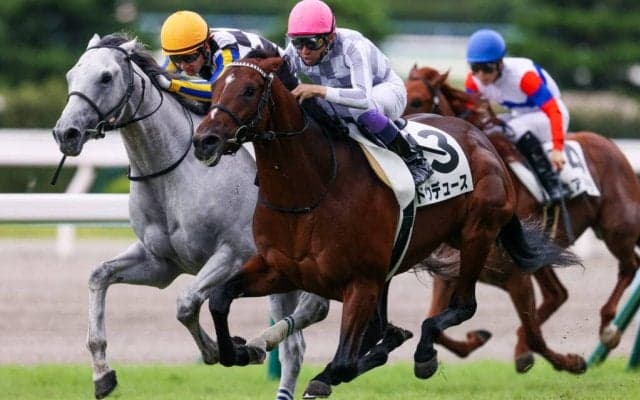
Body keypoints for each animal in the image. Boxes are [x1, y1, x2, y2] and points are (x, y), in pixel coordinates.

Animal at [52, 34, 330, 400]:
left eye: (106, 77)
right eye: (71, 75)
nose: (65, 133)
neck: (176, 172)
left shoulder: (233, 253)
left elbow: (186, 303)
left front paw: (227, 349)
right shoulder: (161, 262)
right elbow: (99, 276)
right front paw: (102, 374)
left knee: (314, 312)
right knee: (294, 348)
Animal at [191, 54, 579, 397]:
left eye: (249, 90)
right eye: (215, 88)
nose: (205, 140)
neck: (312, 189)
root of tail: (482, 140)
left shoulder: (361, 282)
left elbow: (346, 361)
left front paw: (326, 374)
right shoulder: (282, 269)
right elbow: (220, 299)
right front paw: (241, 350)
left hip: (477, 234)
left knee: (464, 305)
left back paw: (425, 352)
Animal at [405, 64, 640, 372]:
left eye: (417, 100)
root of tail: (608, 144)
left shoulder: (516, 275)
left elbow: (535, 335)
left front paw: (568, 361)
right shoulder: (449, 276)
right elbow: (438, 326)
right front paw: (475, 339)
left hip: (617, 229)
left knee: (628, 266)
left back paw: (607, 328)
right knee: (558, 293)